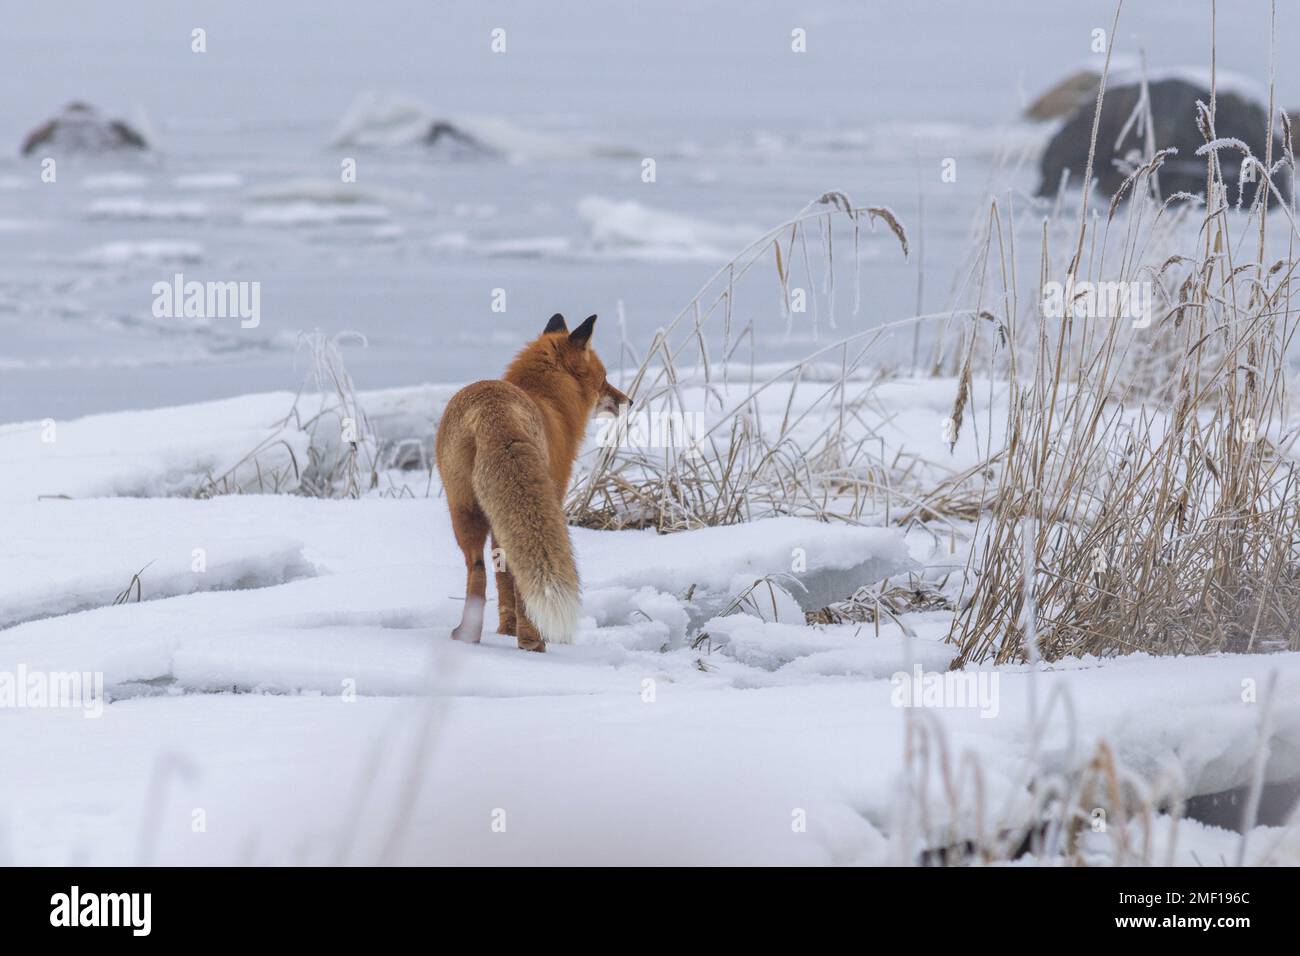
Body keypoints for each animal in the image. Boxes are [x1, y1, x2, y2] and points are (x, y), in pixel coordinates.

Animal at [435, 313, 631, 652]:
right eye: (604, 377)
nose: (628, 401)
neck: (546, 401)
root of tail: (492, 411)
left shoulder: (496, 520)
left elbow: (502, 579)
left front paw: (505, 630)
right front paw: (517, 632)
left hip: (464, 509)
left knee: (478, 569)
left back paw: (470, 636)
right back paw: (533, 644)